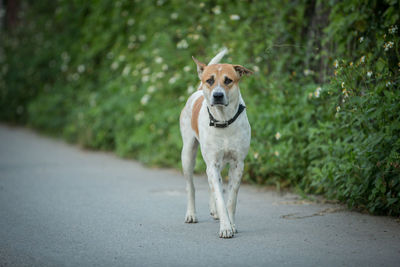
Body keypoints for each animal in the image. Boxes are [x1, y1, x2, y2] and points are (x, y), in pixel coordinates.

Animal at [180, 49, 252, 239]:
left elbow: (231, 198)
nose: (217, 95)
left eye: (228, 80)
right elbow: (220, 197)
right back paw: (191, 214)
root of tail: (197, 92)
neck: (223, 121)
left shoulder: (237, 164)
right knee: (191, 186)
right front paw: (225, 227)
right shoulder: (212, 163)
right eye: (210, 80)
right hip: (188, 154)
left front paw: (231, 223)